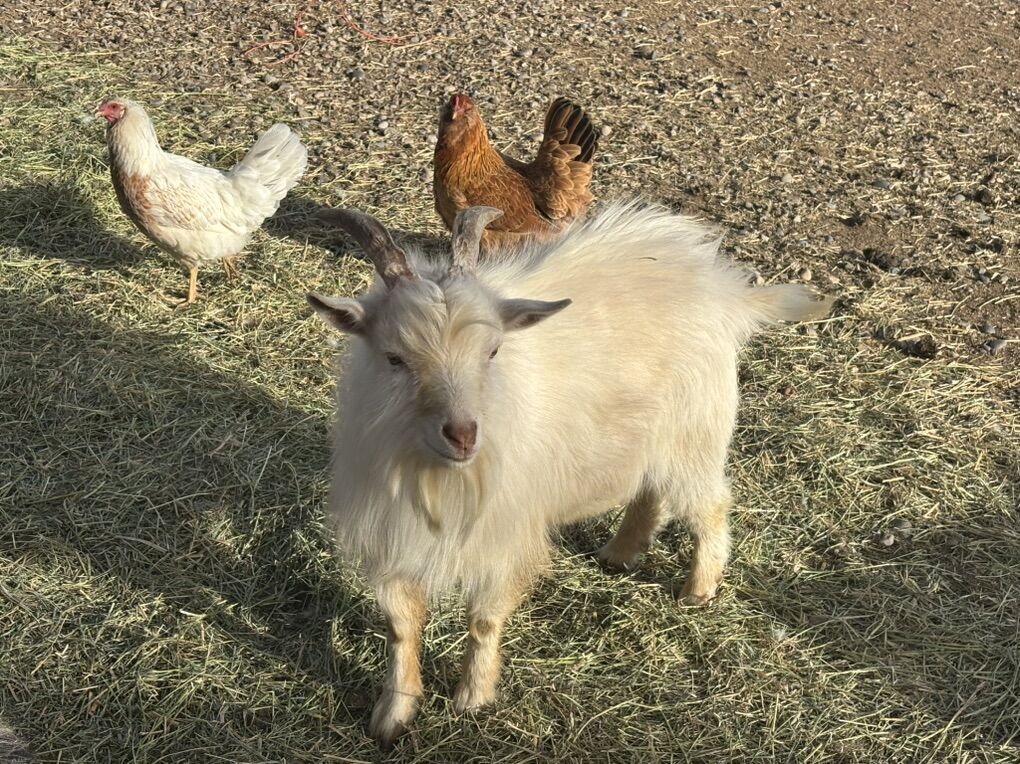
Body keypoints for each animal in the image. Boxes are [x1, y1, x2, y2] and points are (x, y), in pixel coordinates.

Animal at [308, 202, 832, 748]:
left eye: (492, 351)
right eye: (394, 357)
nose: (464, 435)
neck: (441, 475)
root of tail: (726, 290)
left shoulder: (504, 535)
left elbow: (484, 620)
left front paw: (473, 699)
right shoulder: (391, 537)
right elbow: (403, 627)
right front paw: (393, 716)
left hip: (694, 437)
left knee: (710, 507)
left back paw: (698, 590)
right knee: (649, 494)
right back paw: (619, 554)